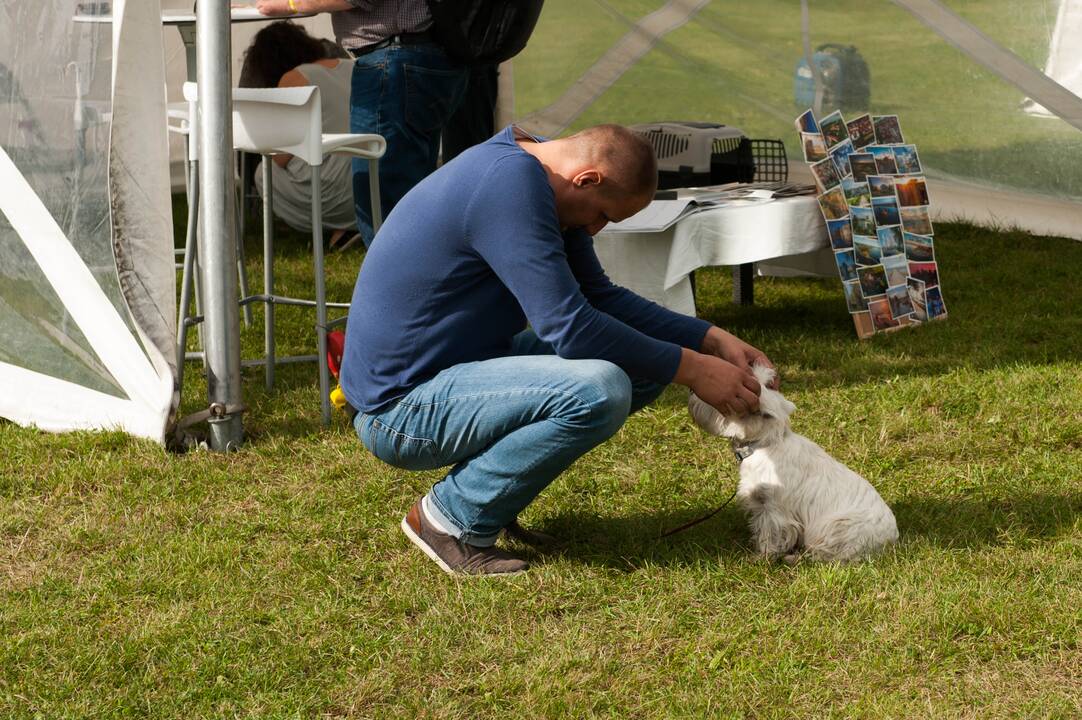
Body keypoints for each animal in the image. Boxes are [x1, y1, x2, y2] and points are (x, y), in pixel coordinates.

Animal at [692, 365, 895, 563]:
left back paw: (794, 557)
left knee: (828, 555)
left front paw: (762, 557)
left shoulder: (774, 507)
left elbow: (771, 533)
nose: (693, 391)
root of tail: (891, 540)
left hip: (837, 529)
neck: (765, 443)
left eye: (721, 404)